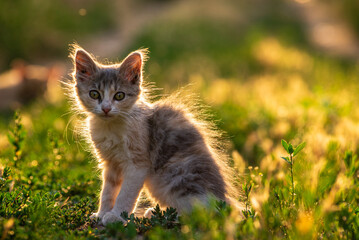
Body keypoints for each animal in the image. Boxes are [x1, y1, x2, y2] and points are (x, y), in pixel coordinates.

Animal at [67, 46, 242, 225]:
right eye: (94, 94)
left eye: (119, 95)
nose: (106, 109)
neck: (110, 127)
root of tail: (223, 200)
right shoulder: (110, 164)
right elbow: (107, 192)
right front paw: (101, 213)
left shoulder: (137, 165)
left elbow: (125, 195)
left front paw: (116, 216)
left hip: (176, 178)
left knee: (201, 212)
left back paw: (168, 216)